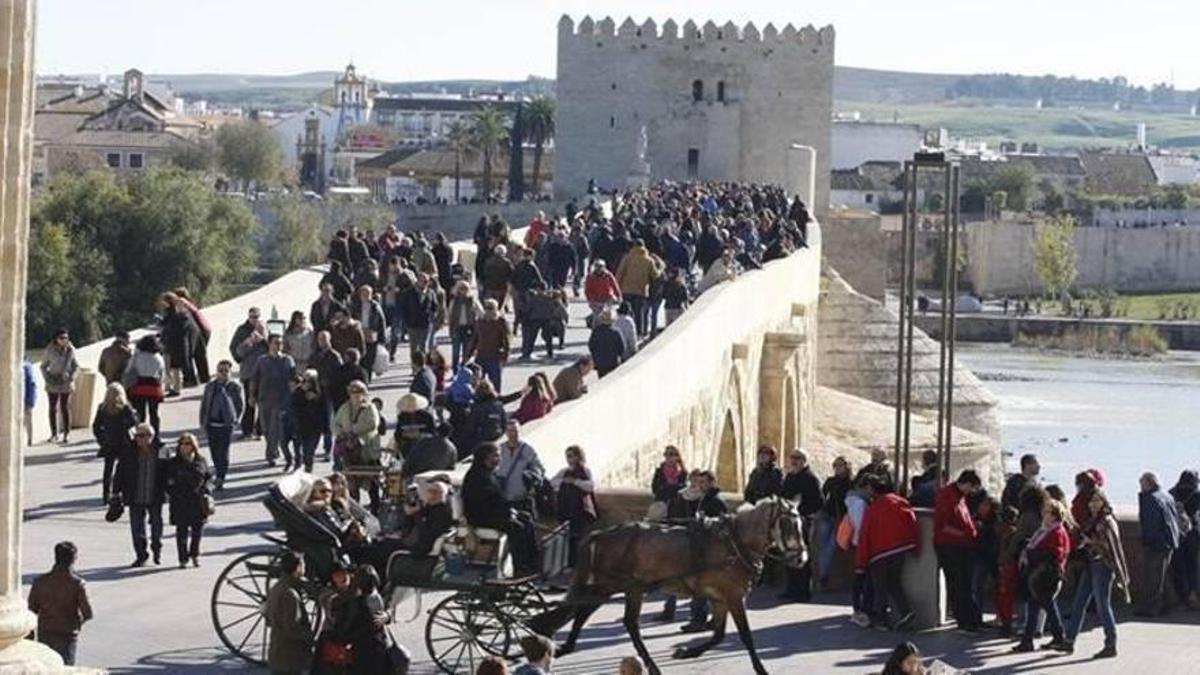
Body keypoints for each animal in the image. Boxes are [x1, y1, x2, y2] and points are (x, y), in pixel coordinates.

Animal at [528, 494, 801, 672]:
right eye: (787, 523)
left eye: (800, 524)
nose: (801, 558)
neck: (733, 543)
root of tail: (601, 534)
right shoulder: (733, 596)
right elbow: (745, 636)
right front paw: (761, 668)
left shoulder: (720, 597)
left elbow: (719, 635)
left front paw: (688, 651)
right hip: (616, 585)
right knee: (600, 614)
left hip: (624, 587)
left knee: (598, 614)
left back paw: (570, 644)